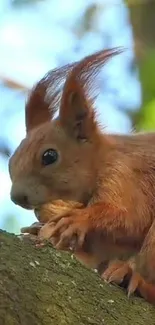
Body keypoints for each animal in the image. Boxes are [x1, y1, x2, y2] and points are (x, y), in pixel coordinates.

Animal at [8, 48, 155, 304]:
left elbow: (131, 217)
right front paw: (42, 228)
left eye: (49, 156)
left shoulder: (125, 176)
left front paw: (77, 219)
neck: (102, 159)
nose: (16, 197)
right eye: (12, 160)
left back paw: (135, 278)